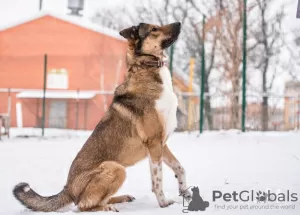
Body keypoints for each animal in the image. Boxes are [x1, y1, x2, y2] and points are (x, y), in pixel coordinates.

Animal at [12, 21, 190, 212]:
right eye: (154, 29)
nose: (179, 23)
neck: (146, 67)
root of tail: (68, 189)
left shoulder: (162, 143)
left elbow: (180, 168)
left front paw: (185, 192)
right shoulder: (154, 143)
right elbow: (157, 181)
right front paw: (164, 203)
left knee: (97, 200)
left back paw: (121, 198)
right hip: (115, 168)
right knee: (84, 206)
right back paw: (108, 208)